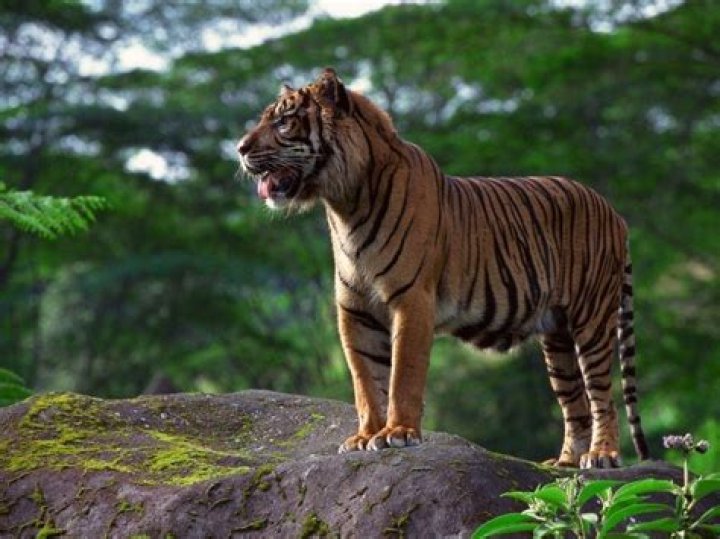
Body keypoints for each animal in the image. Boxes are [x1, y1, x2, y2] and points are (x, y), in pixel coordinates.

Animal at [237, 67, 650, 468]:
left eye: (284, 122)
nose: (239, 148)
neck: (345, 204)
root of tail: (615, 212)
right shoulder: (355, 312)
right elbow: (365, 381)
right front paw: (364, 437)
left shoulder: (412, 301)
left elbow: (403, 374)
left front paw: (397, 433)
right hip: (557, 336)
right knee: (574, 401)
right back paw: (565, 463)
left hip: (591, 319)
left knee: (602, 396)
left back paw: (601, 456)